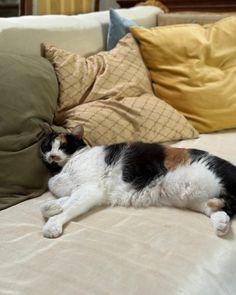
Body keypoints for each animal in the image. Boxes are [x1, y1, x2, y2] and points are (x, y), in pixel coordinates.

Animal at [39, 124, 235, 238]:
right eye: (48, 146)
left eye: (64, 146)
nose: (53, 156)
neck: (64, 168)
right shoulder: (81, 191)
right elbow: (59, 201)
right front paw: (52, 206)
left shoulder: (90, 190)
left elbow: (70, 207)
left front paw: (53, 223)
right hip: (196, 199)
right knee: (217, 208)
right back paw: (222, 225)